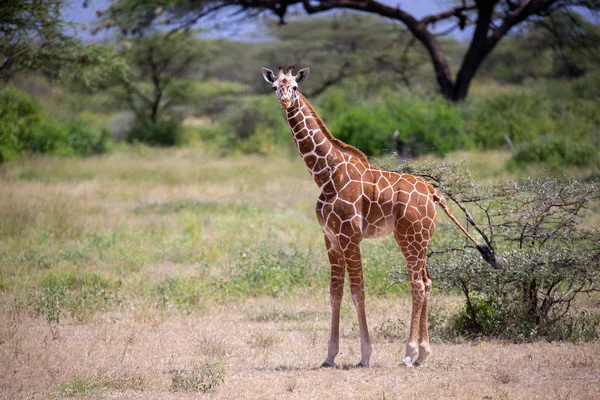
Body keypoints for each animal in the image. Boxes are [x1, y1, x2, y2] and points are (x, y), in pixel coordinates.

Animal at [262, 66, 496, 368]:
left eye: (294, 87)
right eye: (275, 86)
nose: (285, 100)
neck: (326, 175)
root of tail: (434, 192)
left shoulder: (350, 236)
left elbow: (357, 291)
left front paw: (365, 355)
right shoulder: (330, 238)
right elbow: (335, 293)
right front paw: (330, 356)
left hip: (409, 237)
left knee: (417, 284)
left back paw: (409, 353)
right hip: (420, 239)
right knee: (428, 282)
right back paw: (423, 354)